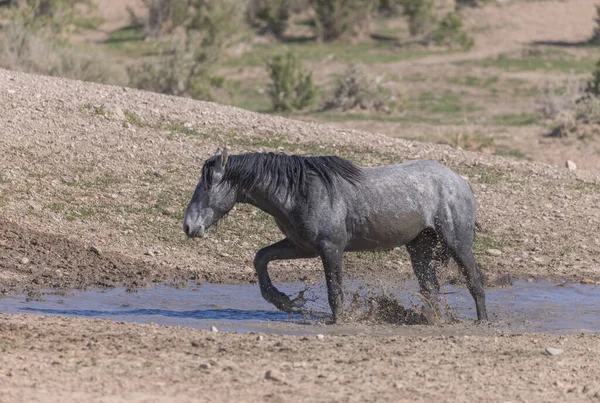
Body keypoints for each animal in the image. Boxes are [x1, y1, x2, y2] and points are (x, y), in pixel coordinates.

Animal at [183, 150, 488, 324]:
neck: (301, 191)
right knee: (431, 290)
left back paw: (482, 322)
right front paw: (285, 301)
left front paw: (337, 321)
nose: (188, 226)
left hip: (458, 245)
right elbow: (261, 258)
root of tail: (460, 182)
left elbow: (335, 291)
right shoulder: (302, 246)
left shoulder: (330, 250)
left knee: (474, 283)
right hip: (419, 249)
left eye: (208, 184)